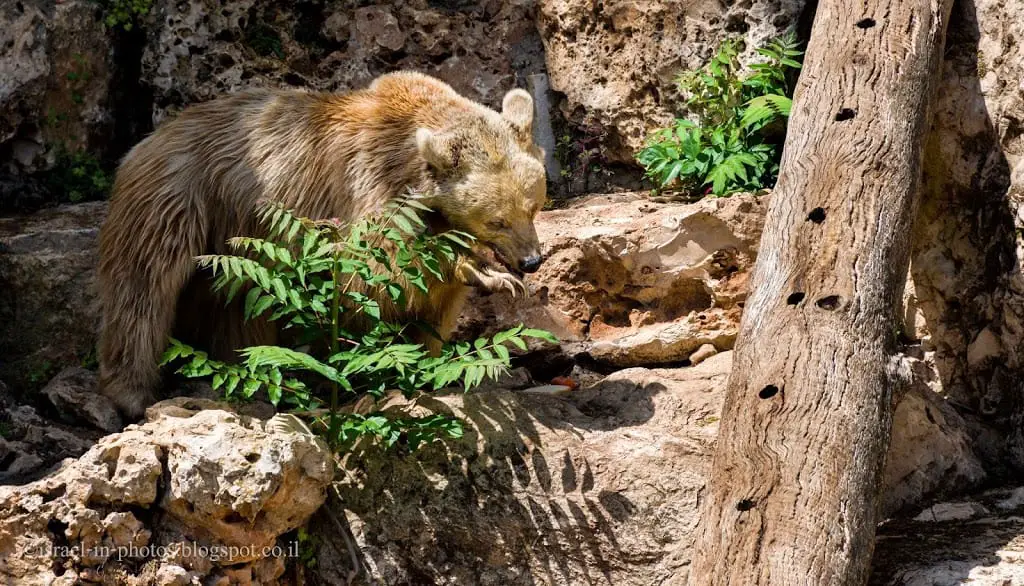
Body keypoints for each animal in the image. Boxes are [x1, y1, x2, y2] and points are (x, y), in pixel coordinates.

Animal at [98, 73, 548, 417]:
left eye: (533, 205)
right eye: (497, 219)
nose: (531, 260)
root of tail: (152, 135)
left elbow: (431, 310)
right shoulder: (365, 189)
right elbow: (377, 273)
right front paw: (483, 271)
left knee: (233, 304)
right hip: (180, 194)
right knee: (144, 285)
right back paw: (132, 392)